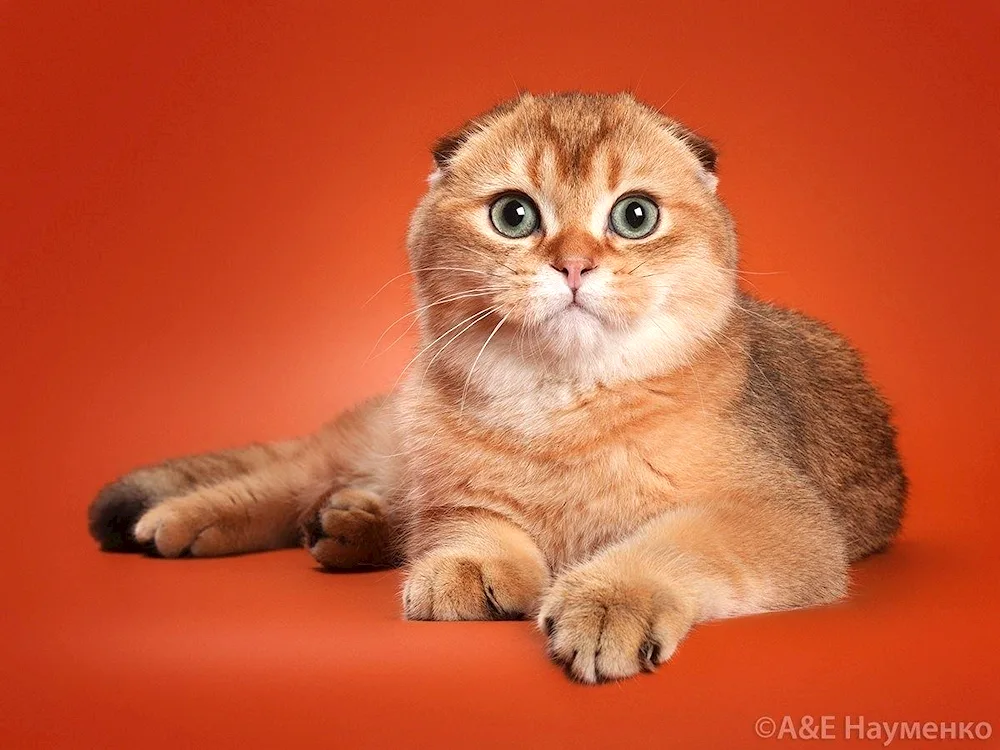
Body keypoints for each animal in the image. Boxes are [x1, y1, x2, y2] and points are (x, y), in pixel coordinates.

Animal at [88, 91, 908, 684]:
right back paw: (186, 519)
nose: (573, 265)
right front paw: (473, 566)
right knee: (291, 475)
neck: (564, 405)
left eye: (635, 215)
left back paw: (347, 528)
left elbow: (673, 543)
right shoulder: (458, 494)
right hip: (392, 439)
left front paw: (612, 599)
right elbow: (473, 524)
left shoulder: (775, 516)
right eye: (514, 215)